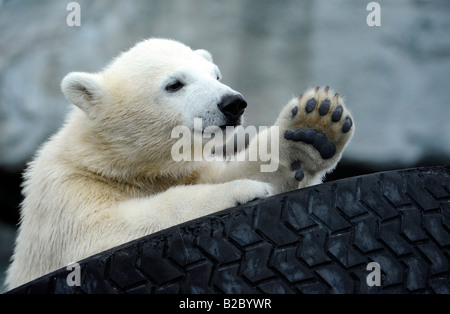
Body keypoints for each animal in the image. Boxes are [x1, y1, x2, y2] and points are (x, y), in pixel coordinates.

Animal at [4, 38, 356, 290]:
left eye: (216, 75)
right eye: (175, 84)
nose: (233, 103)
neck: (115, 161)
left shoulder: (190, 168)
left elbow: (236, 169)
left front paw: (315, 127)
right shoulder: (66, 195)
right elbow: (105, 233)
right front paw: (241, 191)